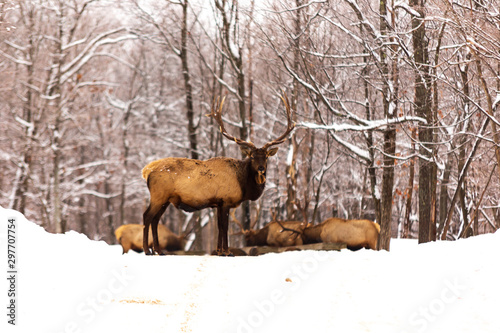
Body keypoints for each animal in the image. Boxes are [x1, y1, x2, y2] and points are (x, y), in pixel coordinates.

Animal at [141, 94, 294, 255]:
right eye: (252, 156)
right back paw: (147, 250)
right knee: (147, 216)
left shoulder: (218, 203)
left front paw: (220, 251)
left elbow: (220, 227)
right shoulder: (226, 200)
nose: (261, 168)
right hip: (159, 195)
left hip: (166, 199)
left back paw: (159, 250)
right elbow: (224, 227)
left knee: (155, 220)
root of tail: (147, 171)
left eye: (266, 157)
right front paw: (227, 252)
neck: (243, 185)